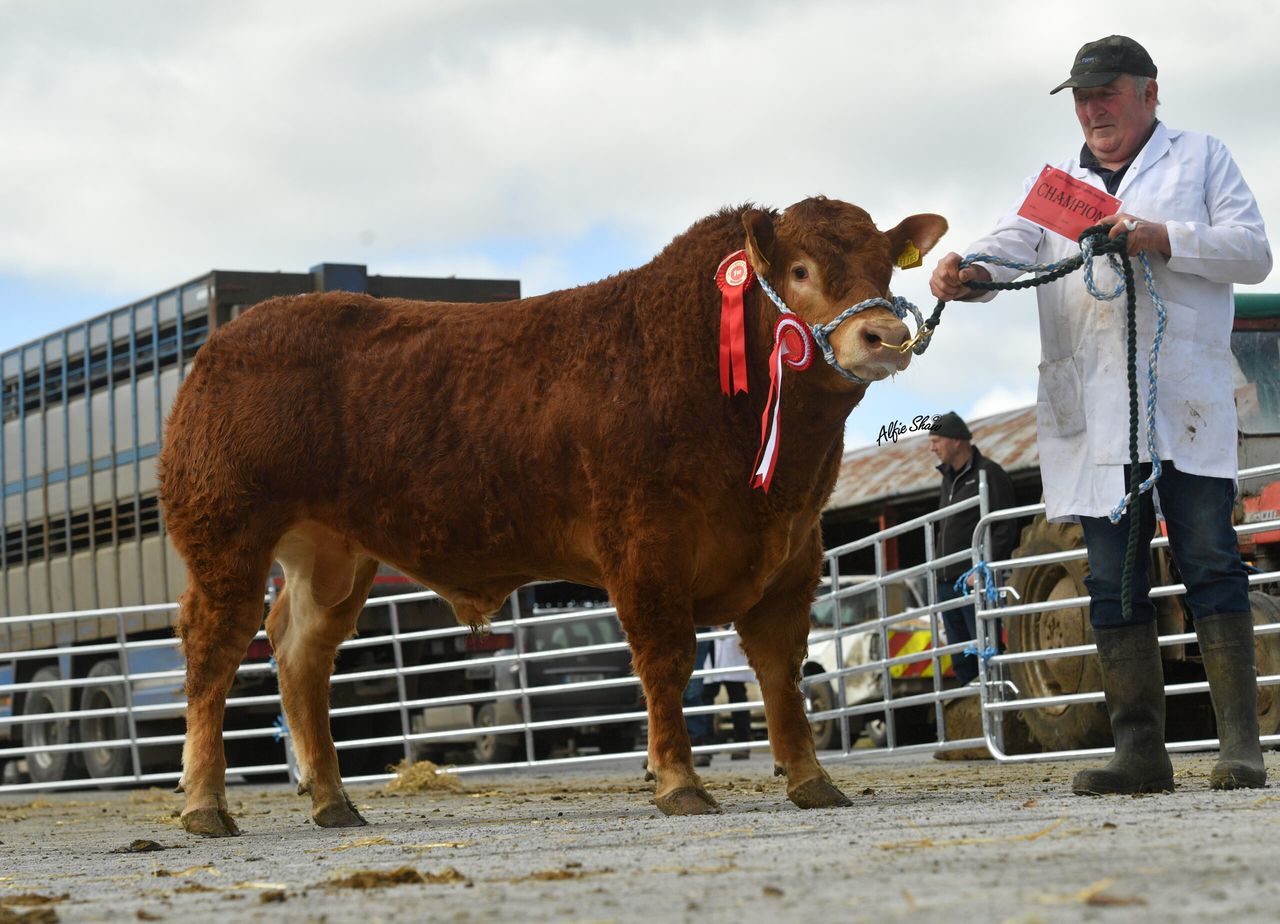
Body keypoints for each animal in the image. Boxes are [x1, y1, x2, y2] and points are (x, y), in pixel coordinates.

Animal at [159, 197, 947, 836]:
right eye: (803, 270)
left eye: (887, 269)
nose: (883, 335)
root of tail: (226, 341)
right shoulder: (645, 543)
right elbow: (666, 661)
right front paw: (680, 783)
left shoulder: (795, 550)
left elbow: (782, 672)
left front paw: (813, 780)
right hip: (225, 533)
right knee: (212, 653)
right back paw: (204, 804)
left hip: (332, 553)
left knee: (301, 655)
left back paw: (332, 800)